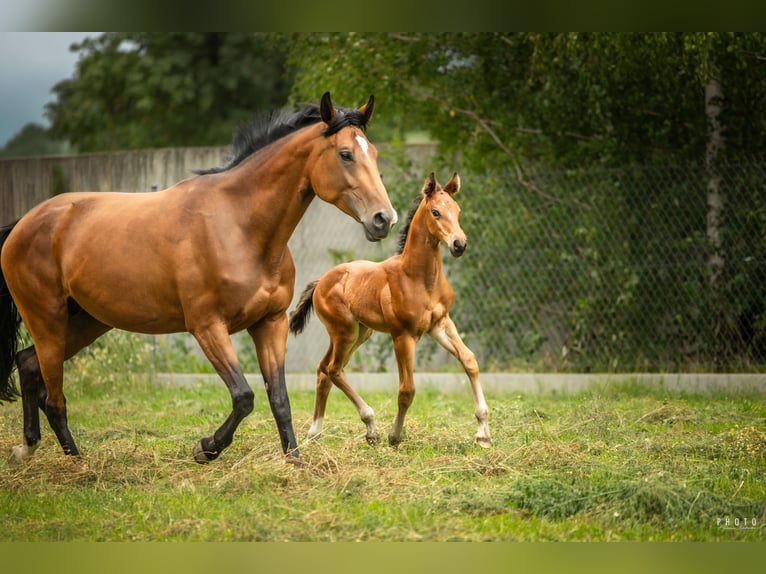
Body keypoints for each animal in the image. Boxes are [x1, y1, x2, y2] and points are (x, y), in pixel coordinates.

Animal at [0, 92, 397, 466]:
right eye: (345, 154)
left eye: (374, 153)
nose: (384, 219)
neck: (238, 225)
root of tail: (23, 224)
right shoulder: (207, 327)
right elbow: (244, 397)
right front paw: (206, 448)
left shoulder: (270, 324)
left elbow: (279, 399)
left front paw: (296, 463)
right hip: (48, 320)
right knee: (55, 398)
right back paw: (77, 467)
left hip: (86, 322)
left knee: (28, 364)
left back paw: (29, 449)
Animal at [289, 172, 491, 448]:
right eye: (436, 212)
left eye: (457, 210)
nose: (459, 244)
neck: (419, 277)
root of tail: (321, 281)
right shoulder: (402, 336)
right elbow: (407, 389)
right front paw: (394, 437)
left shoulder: (440, 324)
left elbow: (470, 361)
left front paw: (483, 434)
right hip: (345, 332)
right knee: (333, 369)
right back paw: (370, 427)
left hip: (360, 333)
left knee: (323, 369)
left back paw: (315, 432)